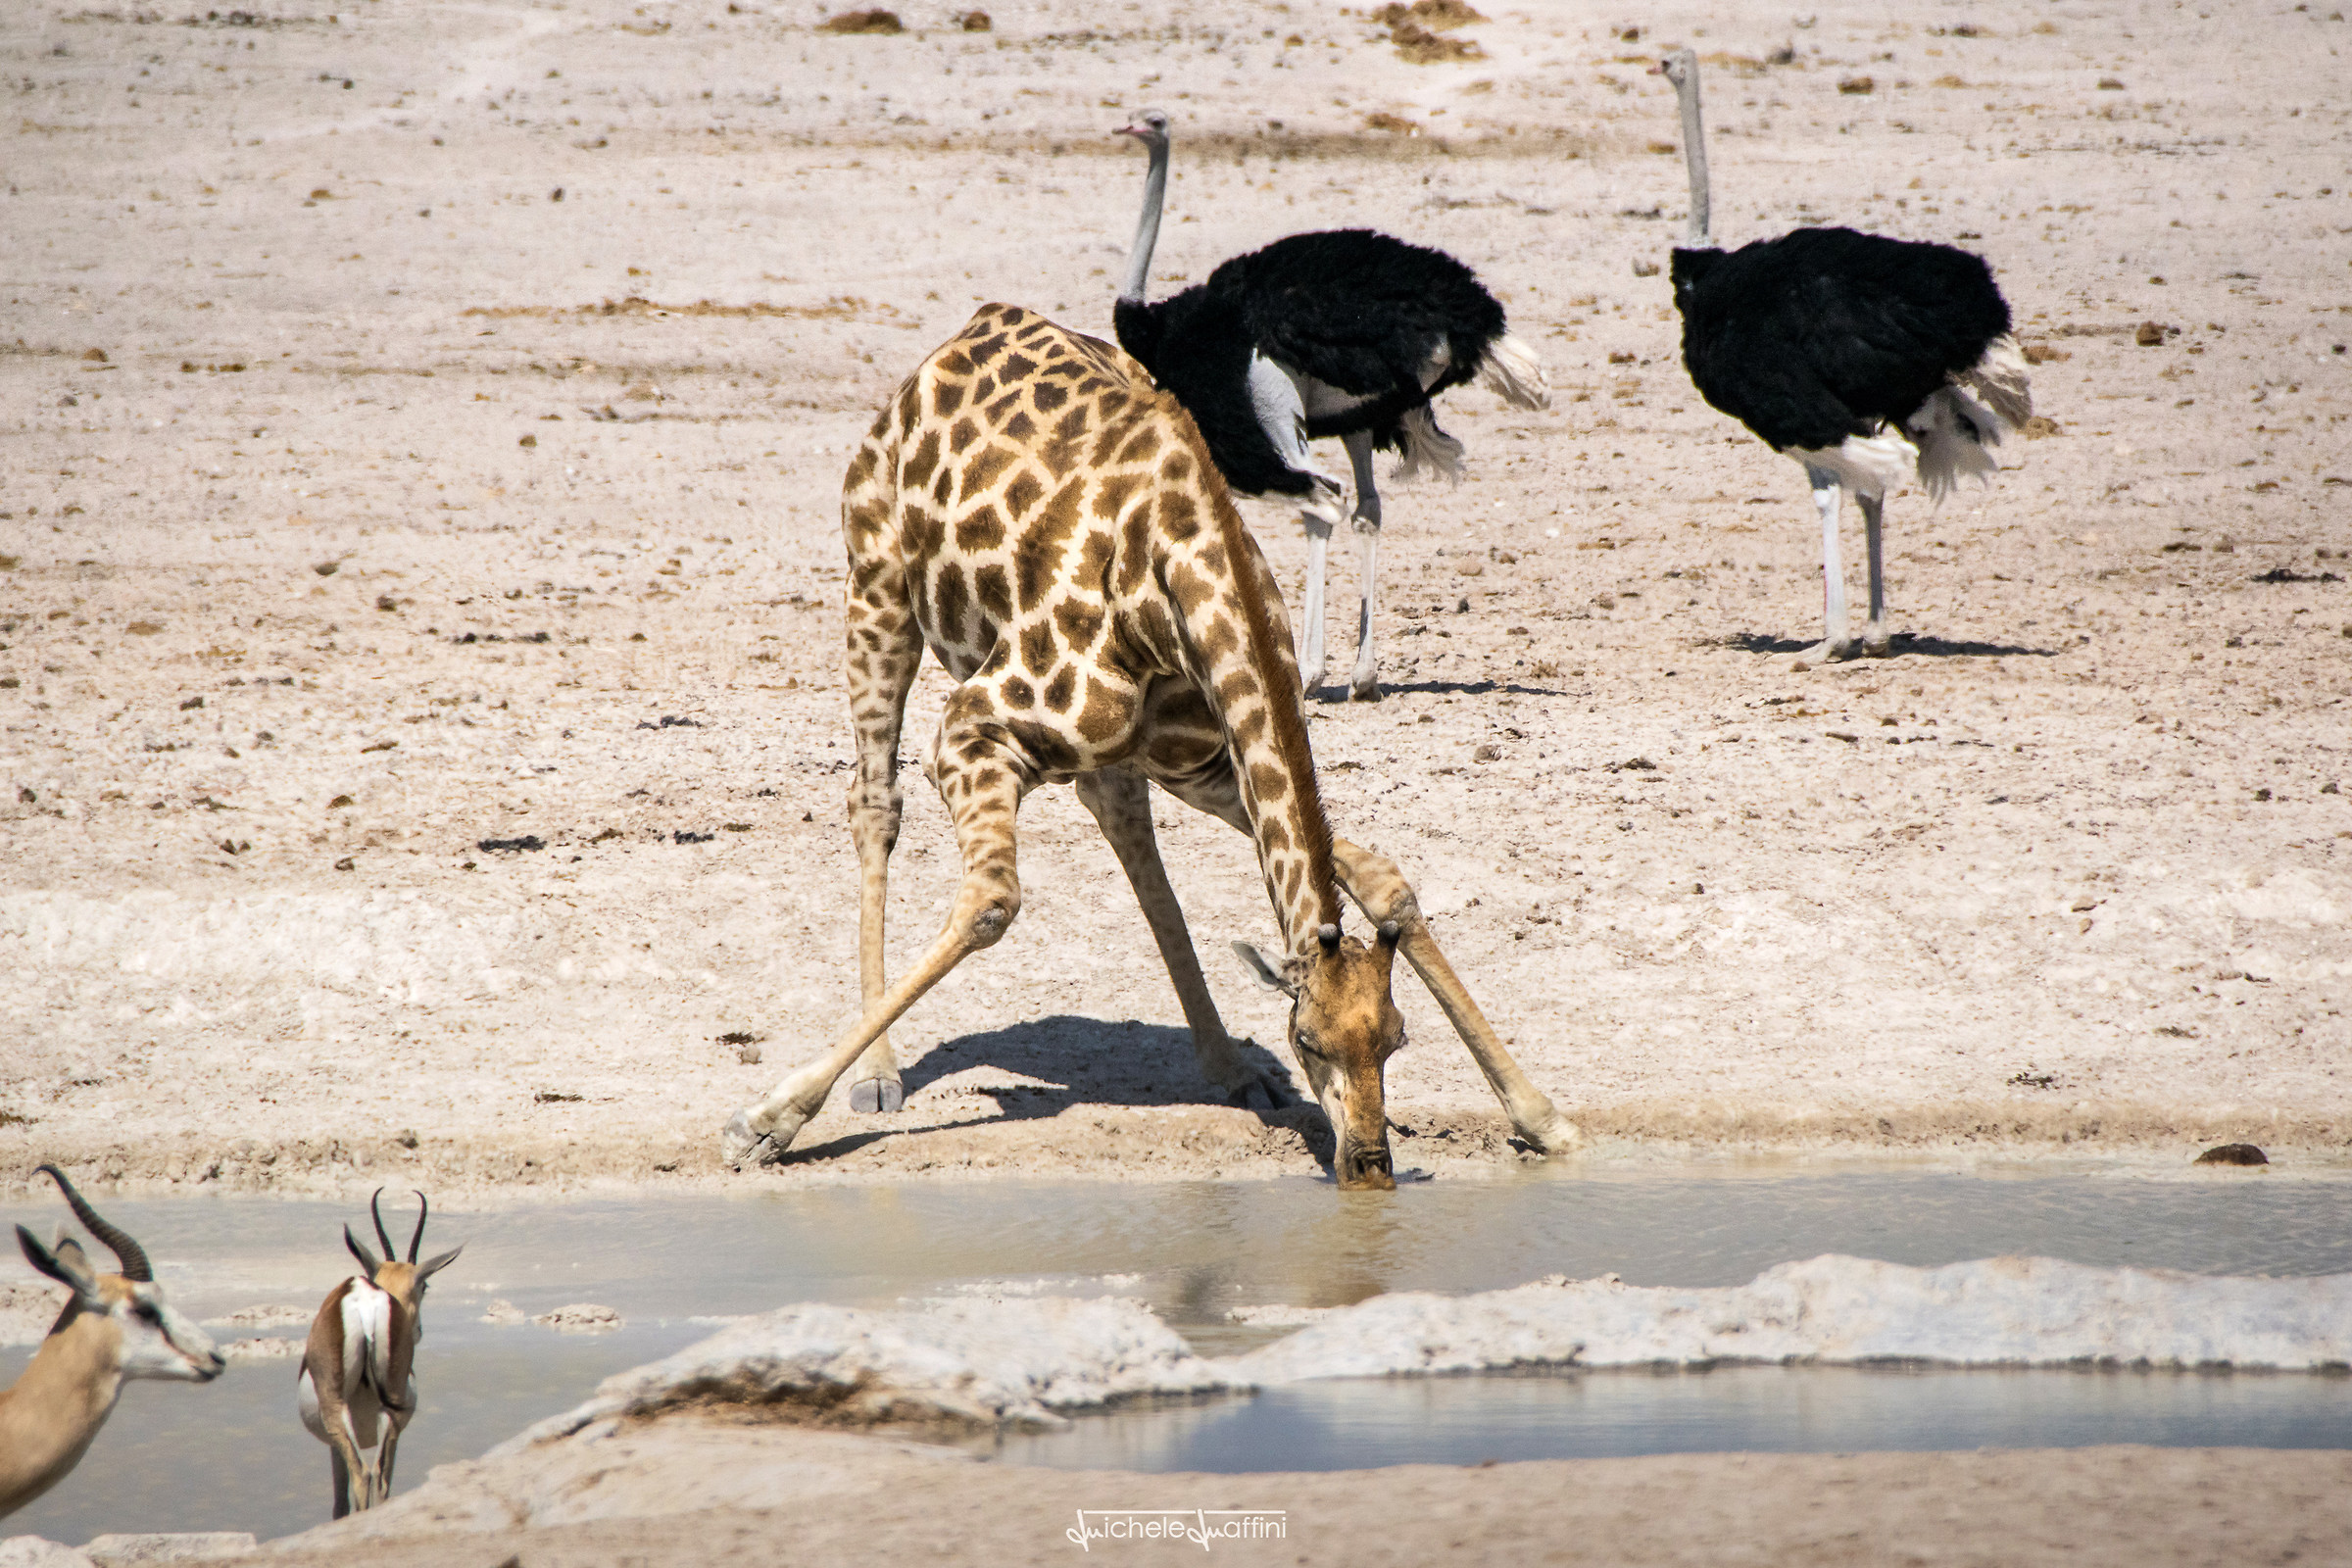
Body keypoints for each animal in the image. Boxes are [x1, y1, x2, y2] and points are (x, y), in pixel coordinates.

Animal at [719, 303, 1576, 1190]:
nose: (1369, 1166)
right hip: (876, 581)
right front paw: (764, 1123)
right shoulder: (970, 729)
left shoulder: (1213, 759)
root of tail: (970, 329)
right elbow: (992, 901)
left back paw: (1233, 1070)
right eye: (1308, 1040)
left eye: (1397, 1037)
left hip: (1137, 753)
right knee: (874, 802)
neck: (1184, 584)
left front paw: (1540, 1116)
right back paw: (879, 1073)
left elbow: (1383, 880)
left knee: (1122, 820)